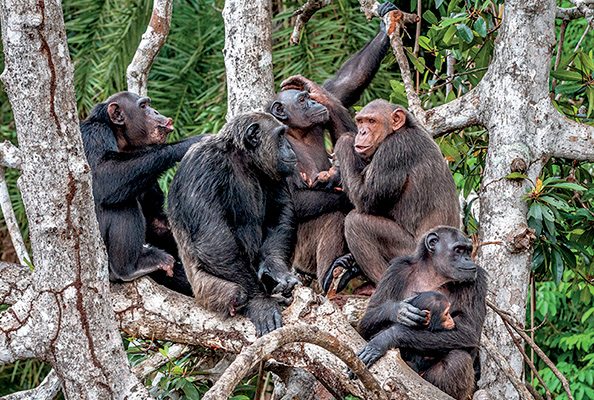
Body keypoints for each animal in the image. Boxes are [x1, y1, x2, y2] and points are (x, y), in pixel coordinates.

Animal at [80, 90, 200, 292]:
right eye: (143, 106)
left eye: (148, 104)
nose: (155, 111)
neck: (121, 140)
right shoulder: (93, 134)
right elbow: (102, 174)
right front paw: (186, 144)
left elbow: (153, 217)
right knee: (121, 204)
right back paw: (130, 268)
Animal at [169, 112, 302, 338]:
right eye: (280, 135)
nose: (290, 146)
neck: (243, 159)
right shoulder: (202, 166)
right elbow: (213, 239)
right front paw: (260, 302)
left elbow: (280, 210)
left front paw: (276, 270)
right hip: (202, 290)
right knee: (236, 292)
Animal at [324, 98, 458, 292]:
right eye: (360, 121)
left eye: (372, 121)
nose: (362, 132)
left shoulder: (394, 150)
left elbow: (365, 197)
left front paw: (346, 139)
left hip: (412, 255)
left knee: (356, 223)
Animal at [354, 227, 484, 400]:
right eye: (459, 250)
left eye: (468, 250)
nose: (468, 259)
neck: (434, 274)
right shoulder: (396, 269)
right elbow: (365, 321)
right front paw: (398, 310)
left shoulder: (478, 281)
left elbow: (467, 332)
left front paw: (386, 338)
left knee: (458, 359)